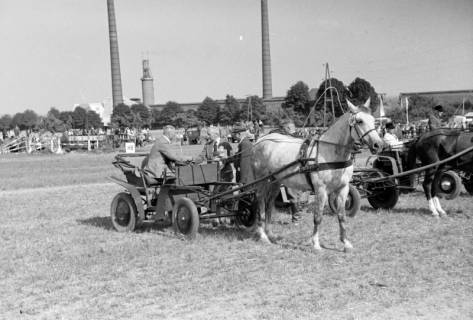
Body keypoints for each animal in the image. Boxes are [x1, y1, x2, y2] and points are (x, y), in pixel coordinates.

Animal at [251, 99, 384, 251]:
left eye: (374, 120)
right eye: (360, 121)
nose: (378, 145)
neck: (331, 152)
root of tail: (260, 140)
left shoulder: (343, 189)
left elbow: (342, 215)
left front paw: (345, 242)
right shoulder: (321, 190)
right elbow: (318, 216)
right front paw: (315, 243)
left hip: (275, 181)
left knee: (269, 203)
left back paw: (270, 234)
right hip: (262, 181)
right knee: (260, 201)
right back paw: (262, 235)